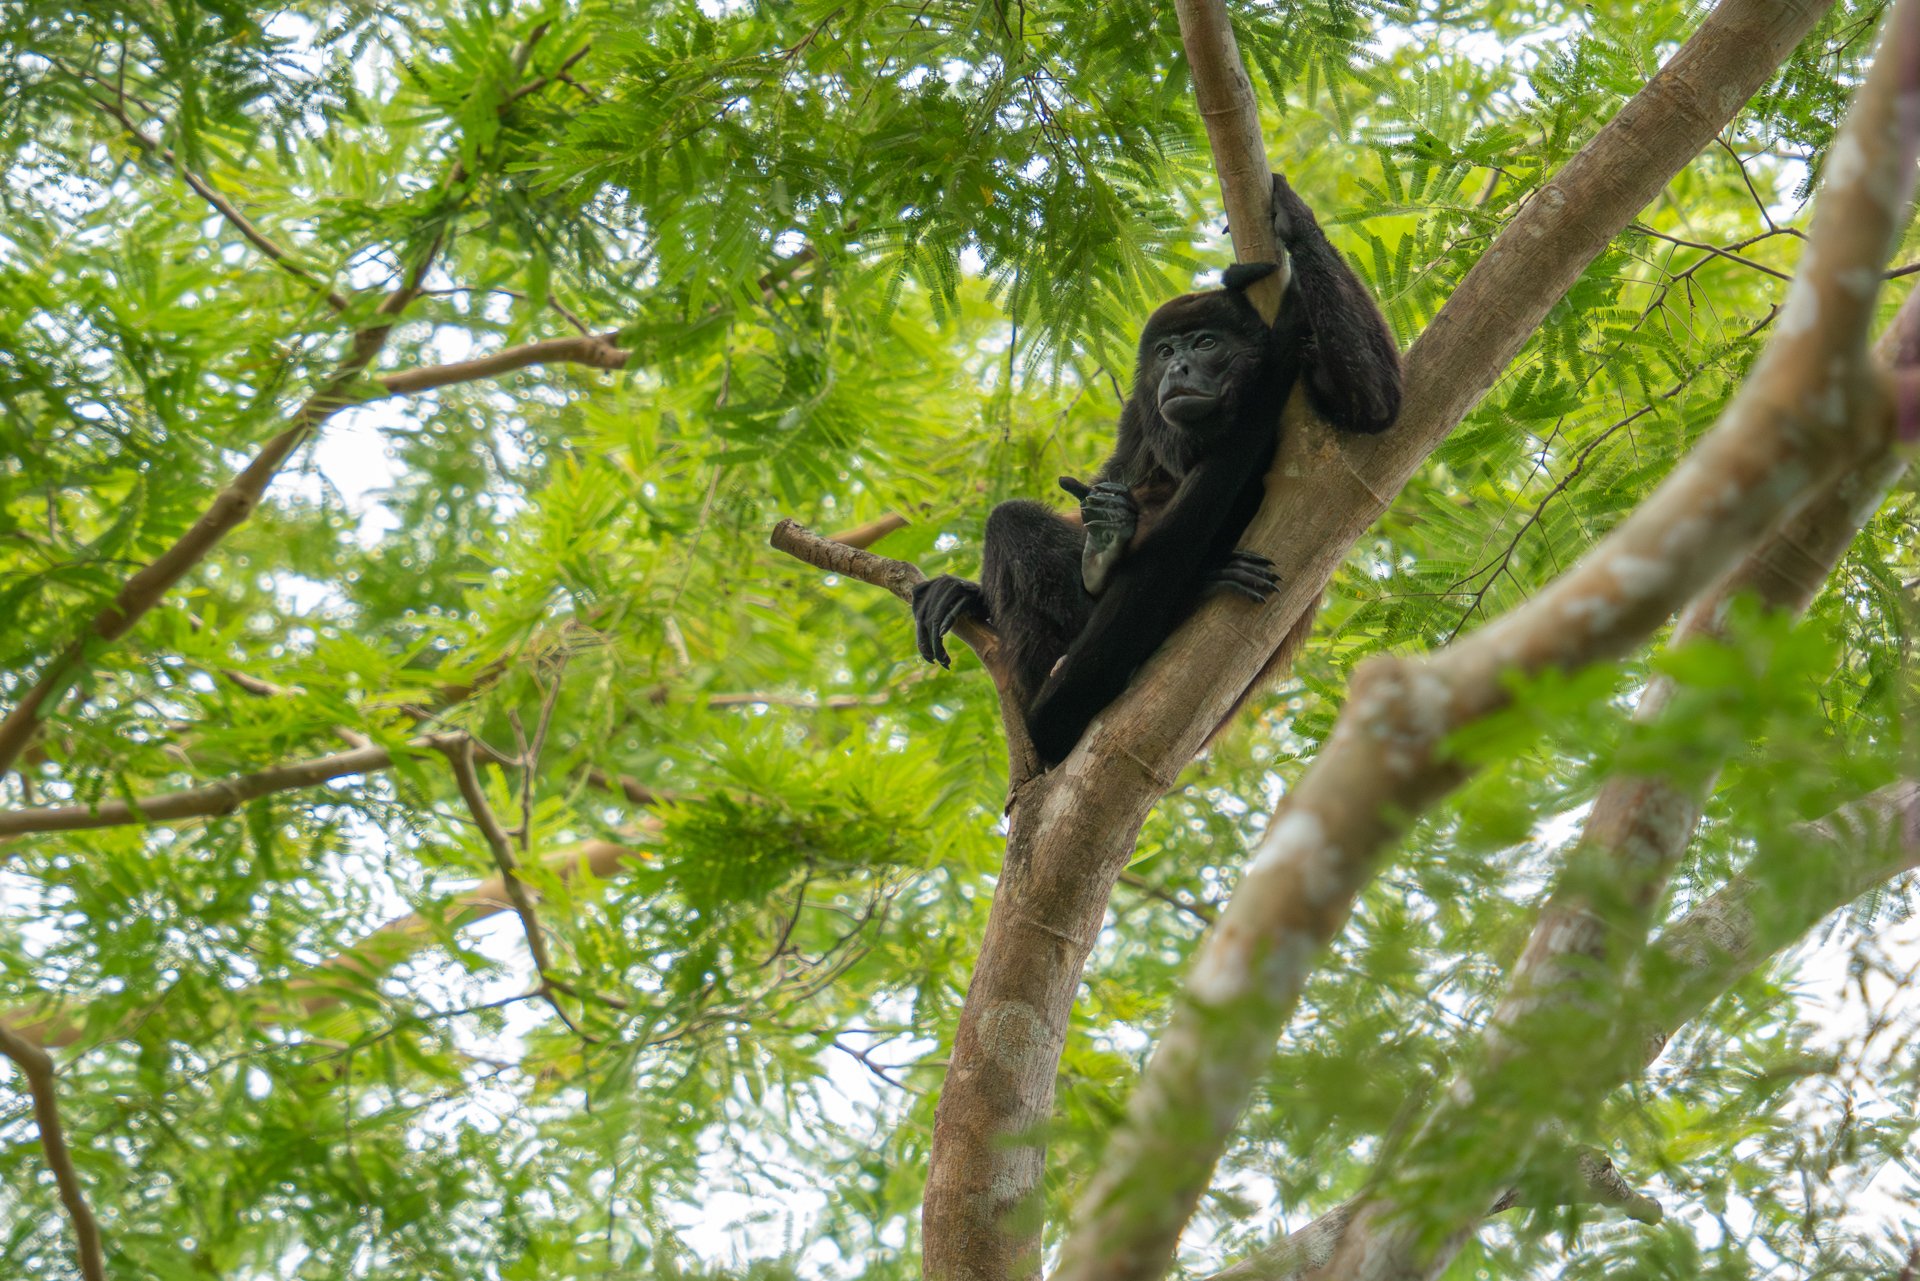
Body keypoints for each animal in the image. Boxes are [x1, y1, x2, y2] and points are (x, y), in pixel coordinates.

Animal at [906, 175, 1405, 768]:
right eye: (1166, 351)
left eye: (1206, 342)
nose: (1178, 367)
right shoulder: (1140, 415)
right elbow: (1118, 473)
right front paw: (963, 589)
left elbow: (1375, 403)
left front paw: (1297, 219)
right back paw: (1099, 552)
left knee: (1011, 522)